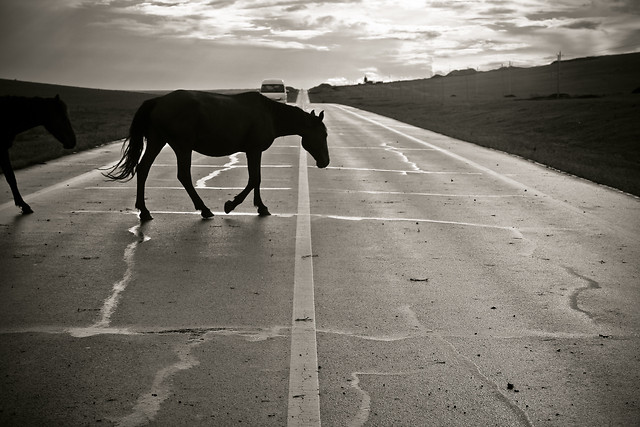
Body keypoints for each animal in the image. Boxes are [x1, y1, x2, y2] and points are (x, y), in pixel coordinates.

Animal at [105, 91, 330, 222]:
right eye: (323, 134)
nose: (325, 161)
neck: (269, 114)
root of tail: (158, 100)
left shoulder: (254, 151)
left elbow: (256, 180)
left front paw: (261, 207)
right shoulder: (253, 150)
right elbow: (254, 179)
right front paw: (231, 205)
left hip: (157, 141)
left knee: (143, 169)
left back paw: (144, 212)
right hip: (182, 146)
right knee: (183, 176)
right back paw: (204, 209)